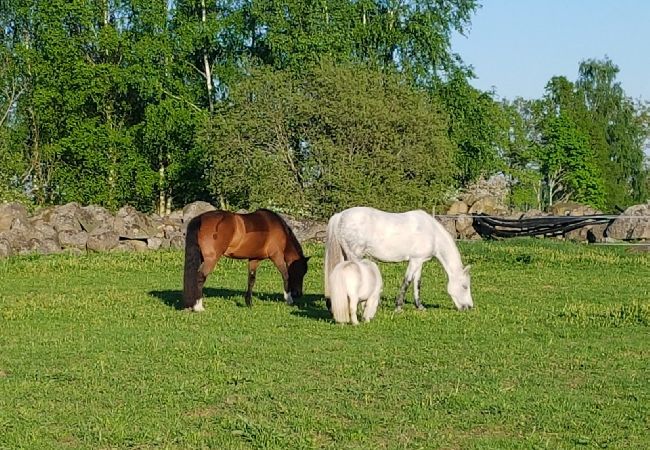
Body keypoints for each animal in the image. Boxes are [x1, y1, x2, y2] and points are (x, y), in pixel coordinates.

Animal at [324, 207, 470, 310]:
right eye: (465, 286)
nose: (469, 307)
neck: (432, 232)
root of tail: (340, 216)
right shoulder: (414, 261)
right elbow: (407, 281)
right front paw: (399, 306)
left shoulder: (419, 261)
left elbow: (417, 282)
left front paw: (420, 306)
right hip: (354, 256)